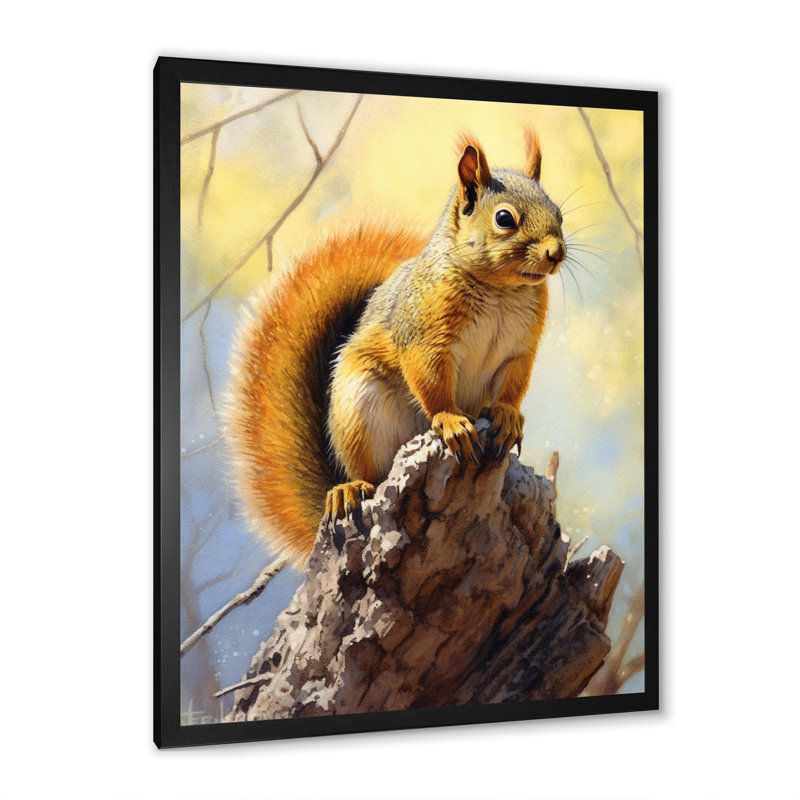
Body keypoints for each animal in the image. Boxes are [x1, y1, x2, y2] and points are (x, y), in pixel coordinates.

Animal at [226, 129, 566, 566]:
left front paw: (507, 416)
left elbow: (512, 385)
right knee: (369, 476)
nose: (556, 253)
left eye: (558, 212)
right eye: (504, 218)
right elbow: (430, 380)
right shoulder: (424, 335)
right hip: (359, 411)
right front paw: (450, 421)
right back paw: (350, 489)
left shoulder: (520, 350)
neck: (502, 290)